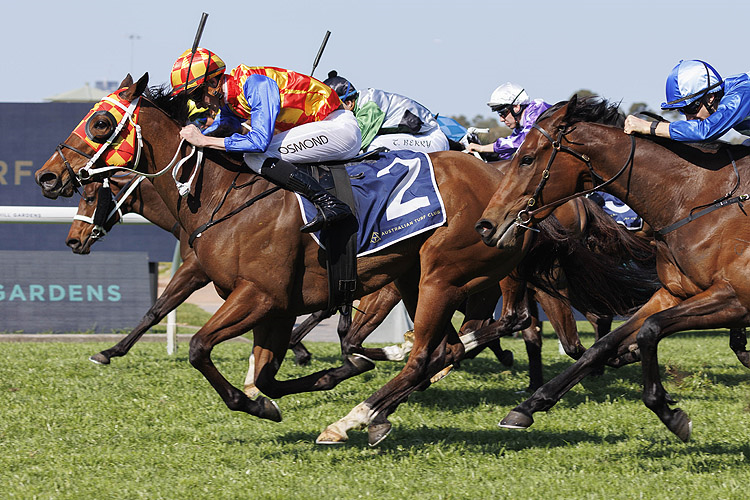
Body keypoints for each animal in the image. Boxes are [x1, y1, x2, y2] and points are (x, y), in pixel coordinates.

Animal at [36, 76, 652, 448]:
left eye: (99, 123)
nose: (47, 176)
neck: (221, 196)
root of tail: (512, 192)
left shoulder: (259, 294)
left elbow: (198, 347)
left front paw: (266, 398)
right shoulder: (275, 304)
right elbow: (264, 369)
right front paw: (303, 384)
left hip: (444, 274)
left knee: (448, 347)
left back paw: (355, 417)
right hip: (416, 277)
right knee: (455, 345)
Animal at [476, 94, 750, 442]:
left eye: (526, 159)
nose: (486, 225)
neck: (697, 197)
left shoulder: (737, 300)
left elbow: (649, 330)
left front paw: (668, 410)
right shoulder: (674, 293)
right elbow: (605, 343)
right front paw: (528, 407)